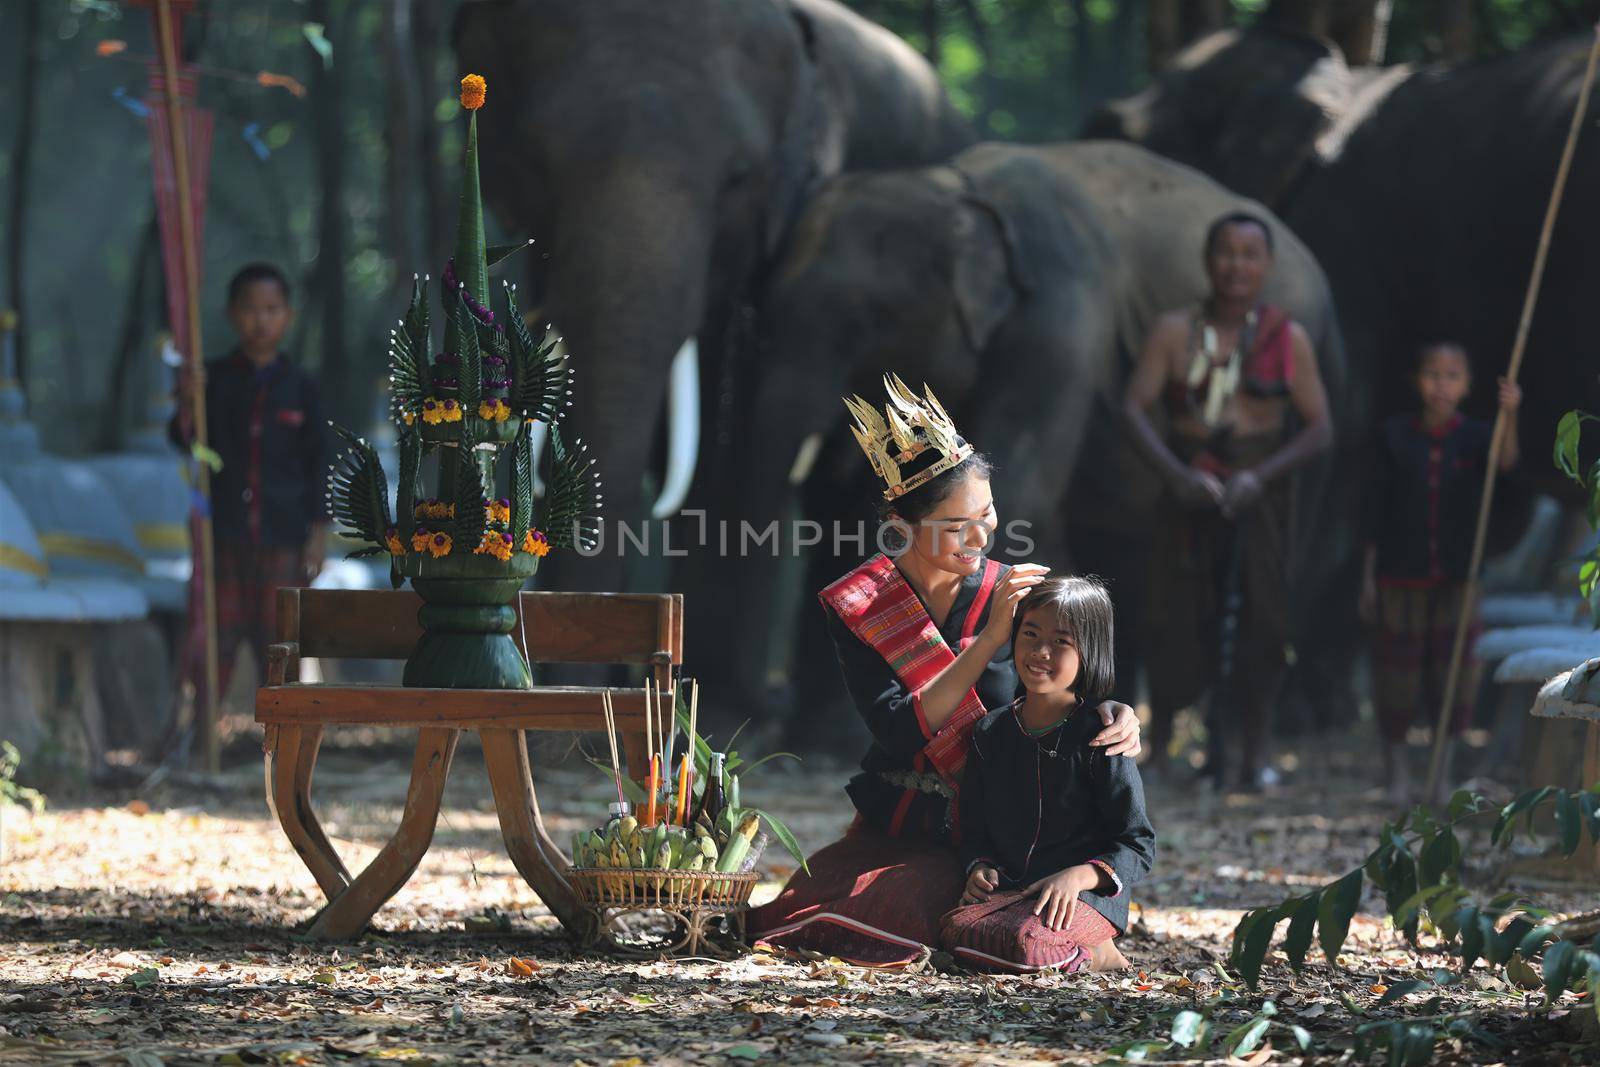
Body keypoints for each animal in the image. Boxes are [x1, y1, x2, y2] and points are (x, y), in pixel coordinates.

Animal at [742, 139, 1344, 742]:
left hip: (1315, 376)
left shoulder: (1060, 324)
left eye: (865, 316)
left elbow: (1022, 477)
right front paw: (830, 735)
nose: (763, 714)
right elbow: (844, 502)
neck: (954, 186)